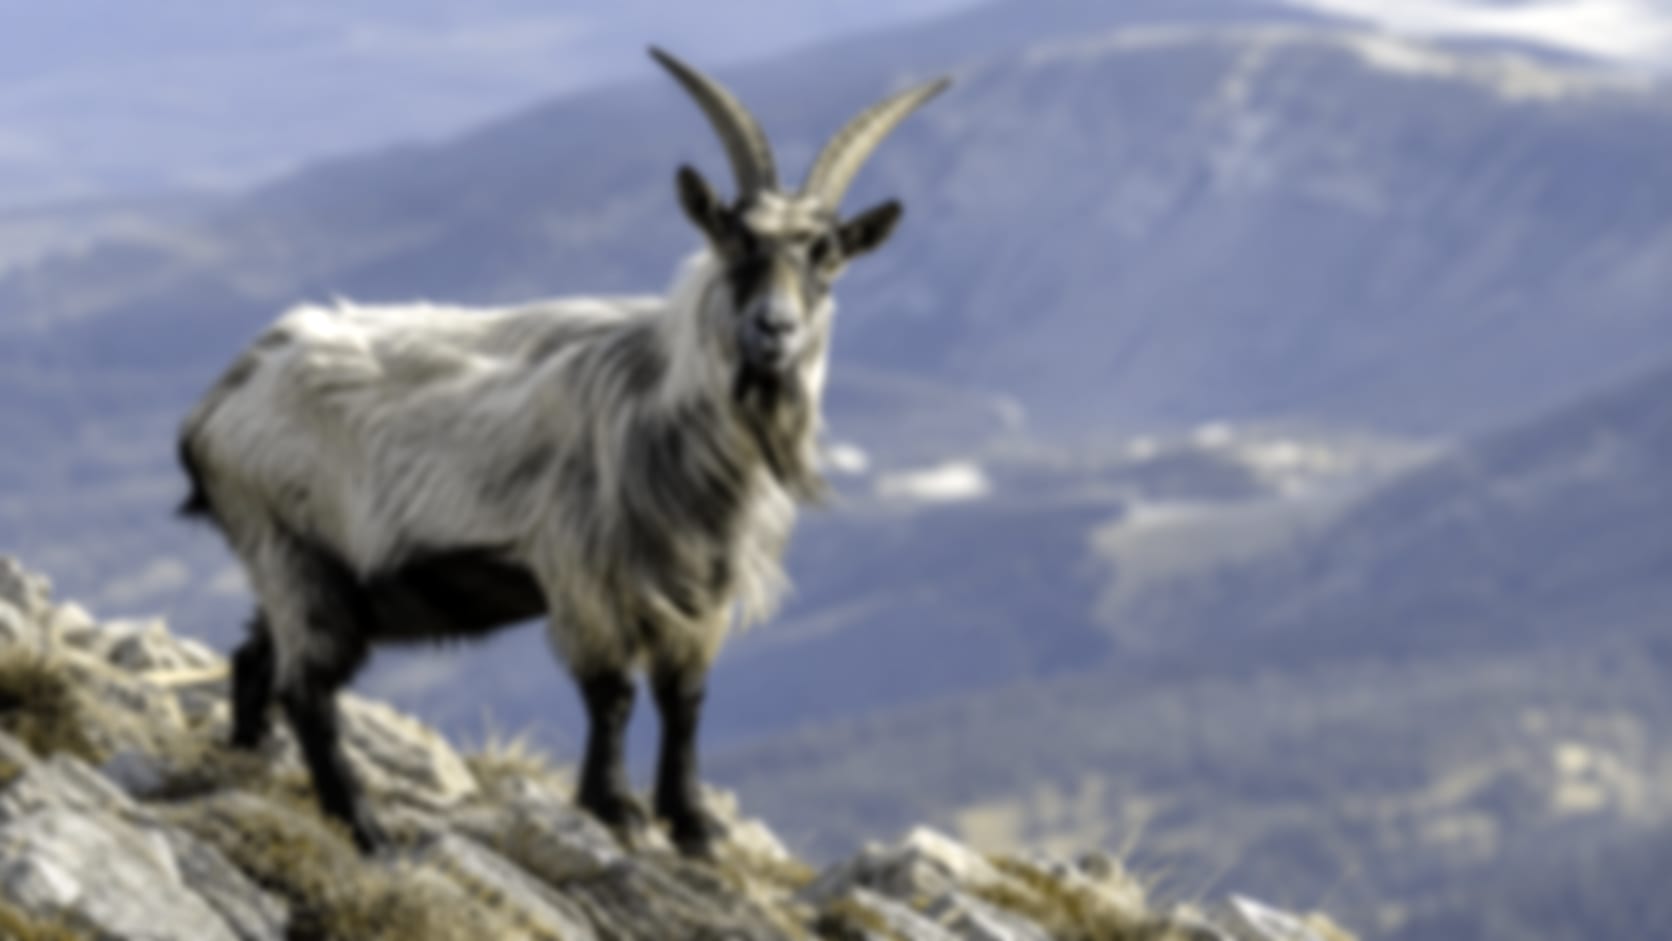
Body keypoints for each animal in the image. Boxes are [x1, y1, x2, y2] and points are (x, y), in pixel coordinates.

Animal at [177, 47, 948, 857]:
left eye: (826, 255)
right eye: (735, 240)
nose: (775, 329)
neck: (664, 403)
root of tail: (218, 403)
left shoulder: (696, 591)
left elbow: (685, 698)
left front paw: (693, 822)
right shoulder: (585, 571)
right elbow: (612, 693)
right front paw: (615, 807)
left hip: (305, 571)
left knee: (256, 657)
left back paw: (252, 754)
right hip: (293, 552)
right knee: (310, 688)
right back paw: (367, 827)